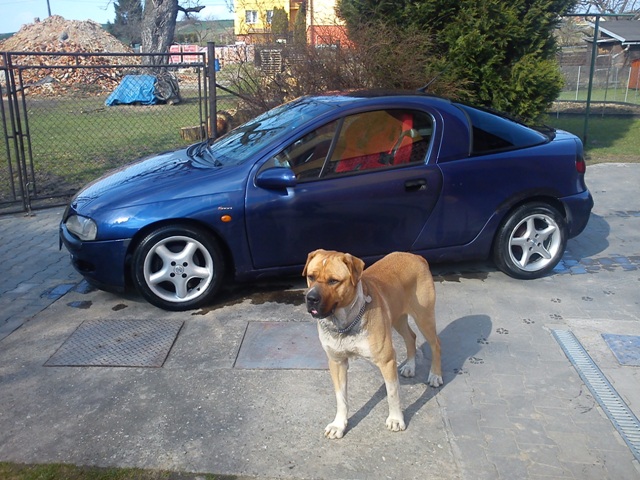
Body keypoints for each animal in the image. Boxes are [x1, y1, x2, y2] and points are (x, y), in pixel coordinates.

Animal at [303, 249, 443, 439]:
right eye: (311, 276)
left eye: (333, 281)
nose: (311, 298)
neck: (345, 322)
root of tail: (416, 256)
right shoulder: (337, 362)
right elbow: (341, 398)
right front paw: (339, 425)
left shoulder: (387, 360)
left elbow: (393, 393)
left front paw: (396, 419)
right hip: (398, 318)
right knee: (411, 337)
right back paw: (410, 366)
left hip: (424, 317)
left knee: (436, 344)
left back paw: (435, 375)